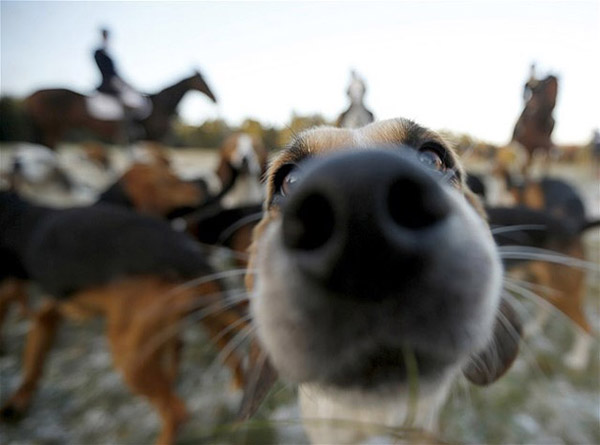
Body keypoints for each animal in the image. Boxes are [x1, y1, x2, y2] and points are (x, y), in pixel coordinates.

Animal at [0, 192, 252, 444]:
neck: (21, 219)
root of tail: (184, 254)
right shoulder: (47, 315)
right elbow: (33, 361)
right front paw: (17, 401)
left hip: (128, 356)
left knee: (176, 412)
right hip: (209, 317)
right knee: (234, 362)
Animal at [26, 70, 218, 148]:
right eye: (203, 80)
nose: (216, 98)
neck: (160, 104)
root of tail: (33, 93)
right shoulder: (153, 137)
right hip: (52, 128)